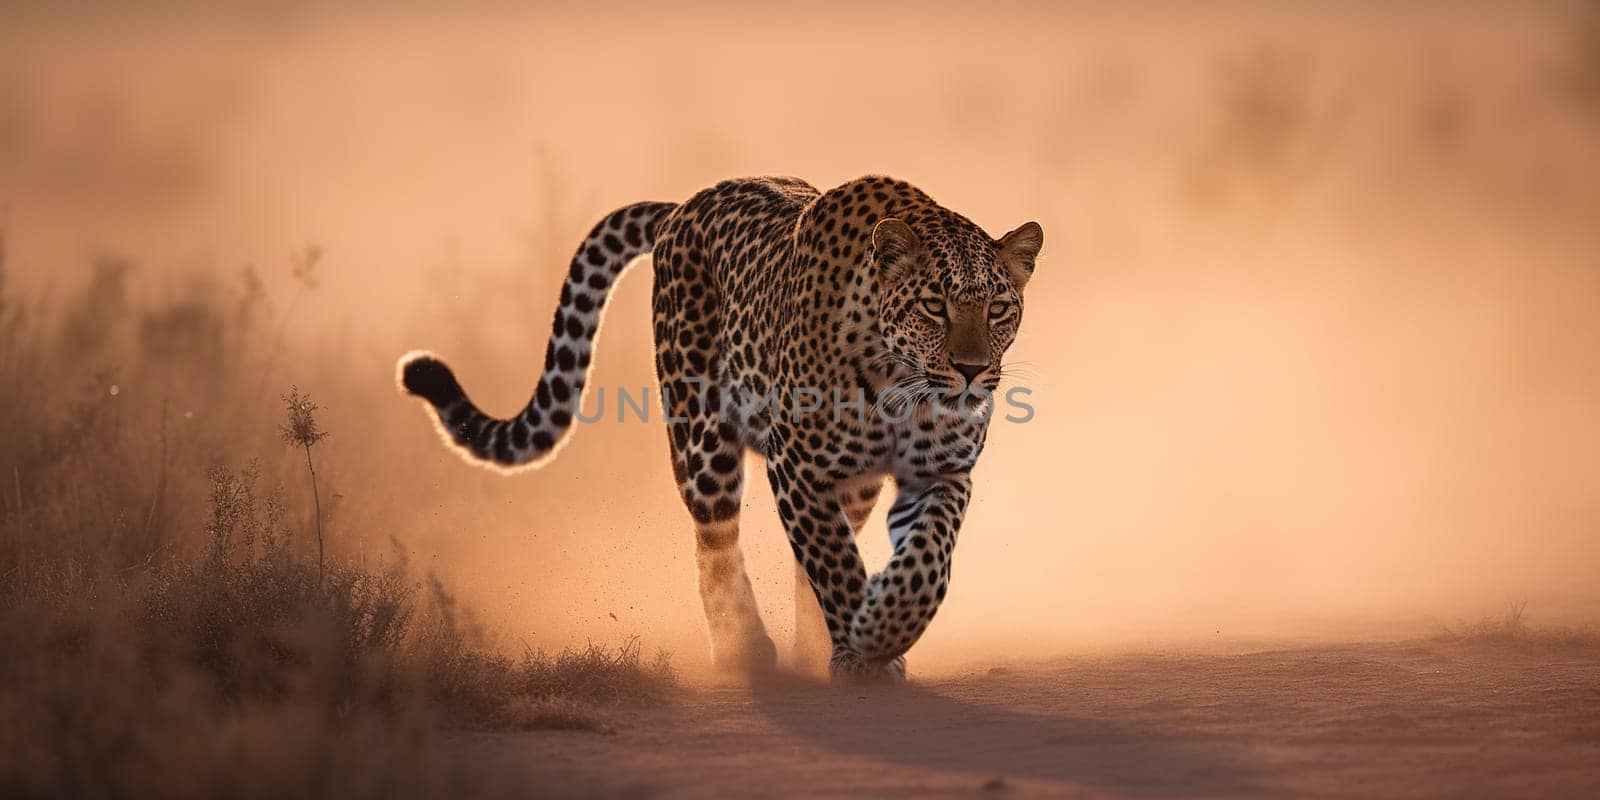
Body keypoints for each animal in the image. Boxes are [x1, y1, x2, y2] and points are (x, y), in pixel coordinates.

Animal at [400, 176, 1043, 681]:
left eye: (998, 309)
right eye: (934, 305)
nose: (971, 370)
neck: (901, 385)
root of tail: (684, 204)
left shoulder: (943, 471)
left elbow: (926, 559)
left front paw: (886, 628)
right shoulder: (797, 466)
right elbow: (834, 562)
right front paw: (864, 652)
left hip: (853, 485)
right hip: (702, 437)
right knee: (714, 543)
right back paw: (743, 648)